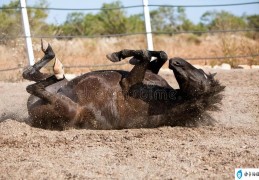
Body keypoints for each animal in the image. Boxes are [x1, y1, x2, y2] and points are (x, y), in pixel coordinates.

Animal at [22, 40, 225, 130]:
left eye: (201, 79)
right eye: (201, 71)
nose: (177, 62)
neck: (167, 100)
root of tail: (31, 115)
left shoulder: (128, 83)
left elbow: (144, 55)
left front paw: (119, 55)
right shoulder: (150, 73)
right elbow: (157, 55)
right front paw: (124, 55)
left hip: (67, 107)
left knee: (33, 86)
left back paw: (56, 67)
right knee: (29, 75)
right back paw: (48, 55)